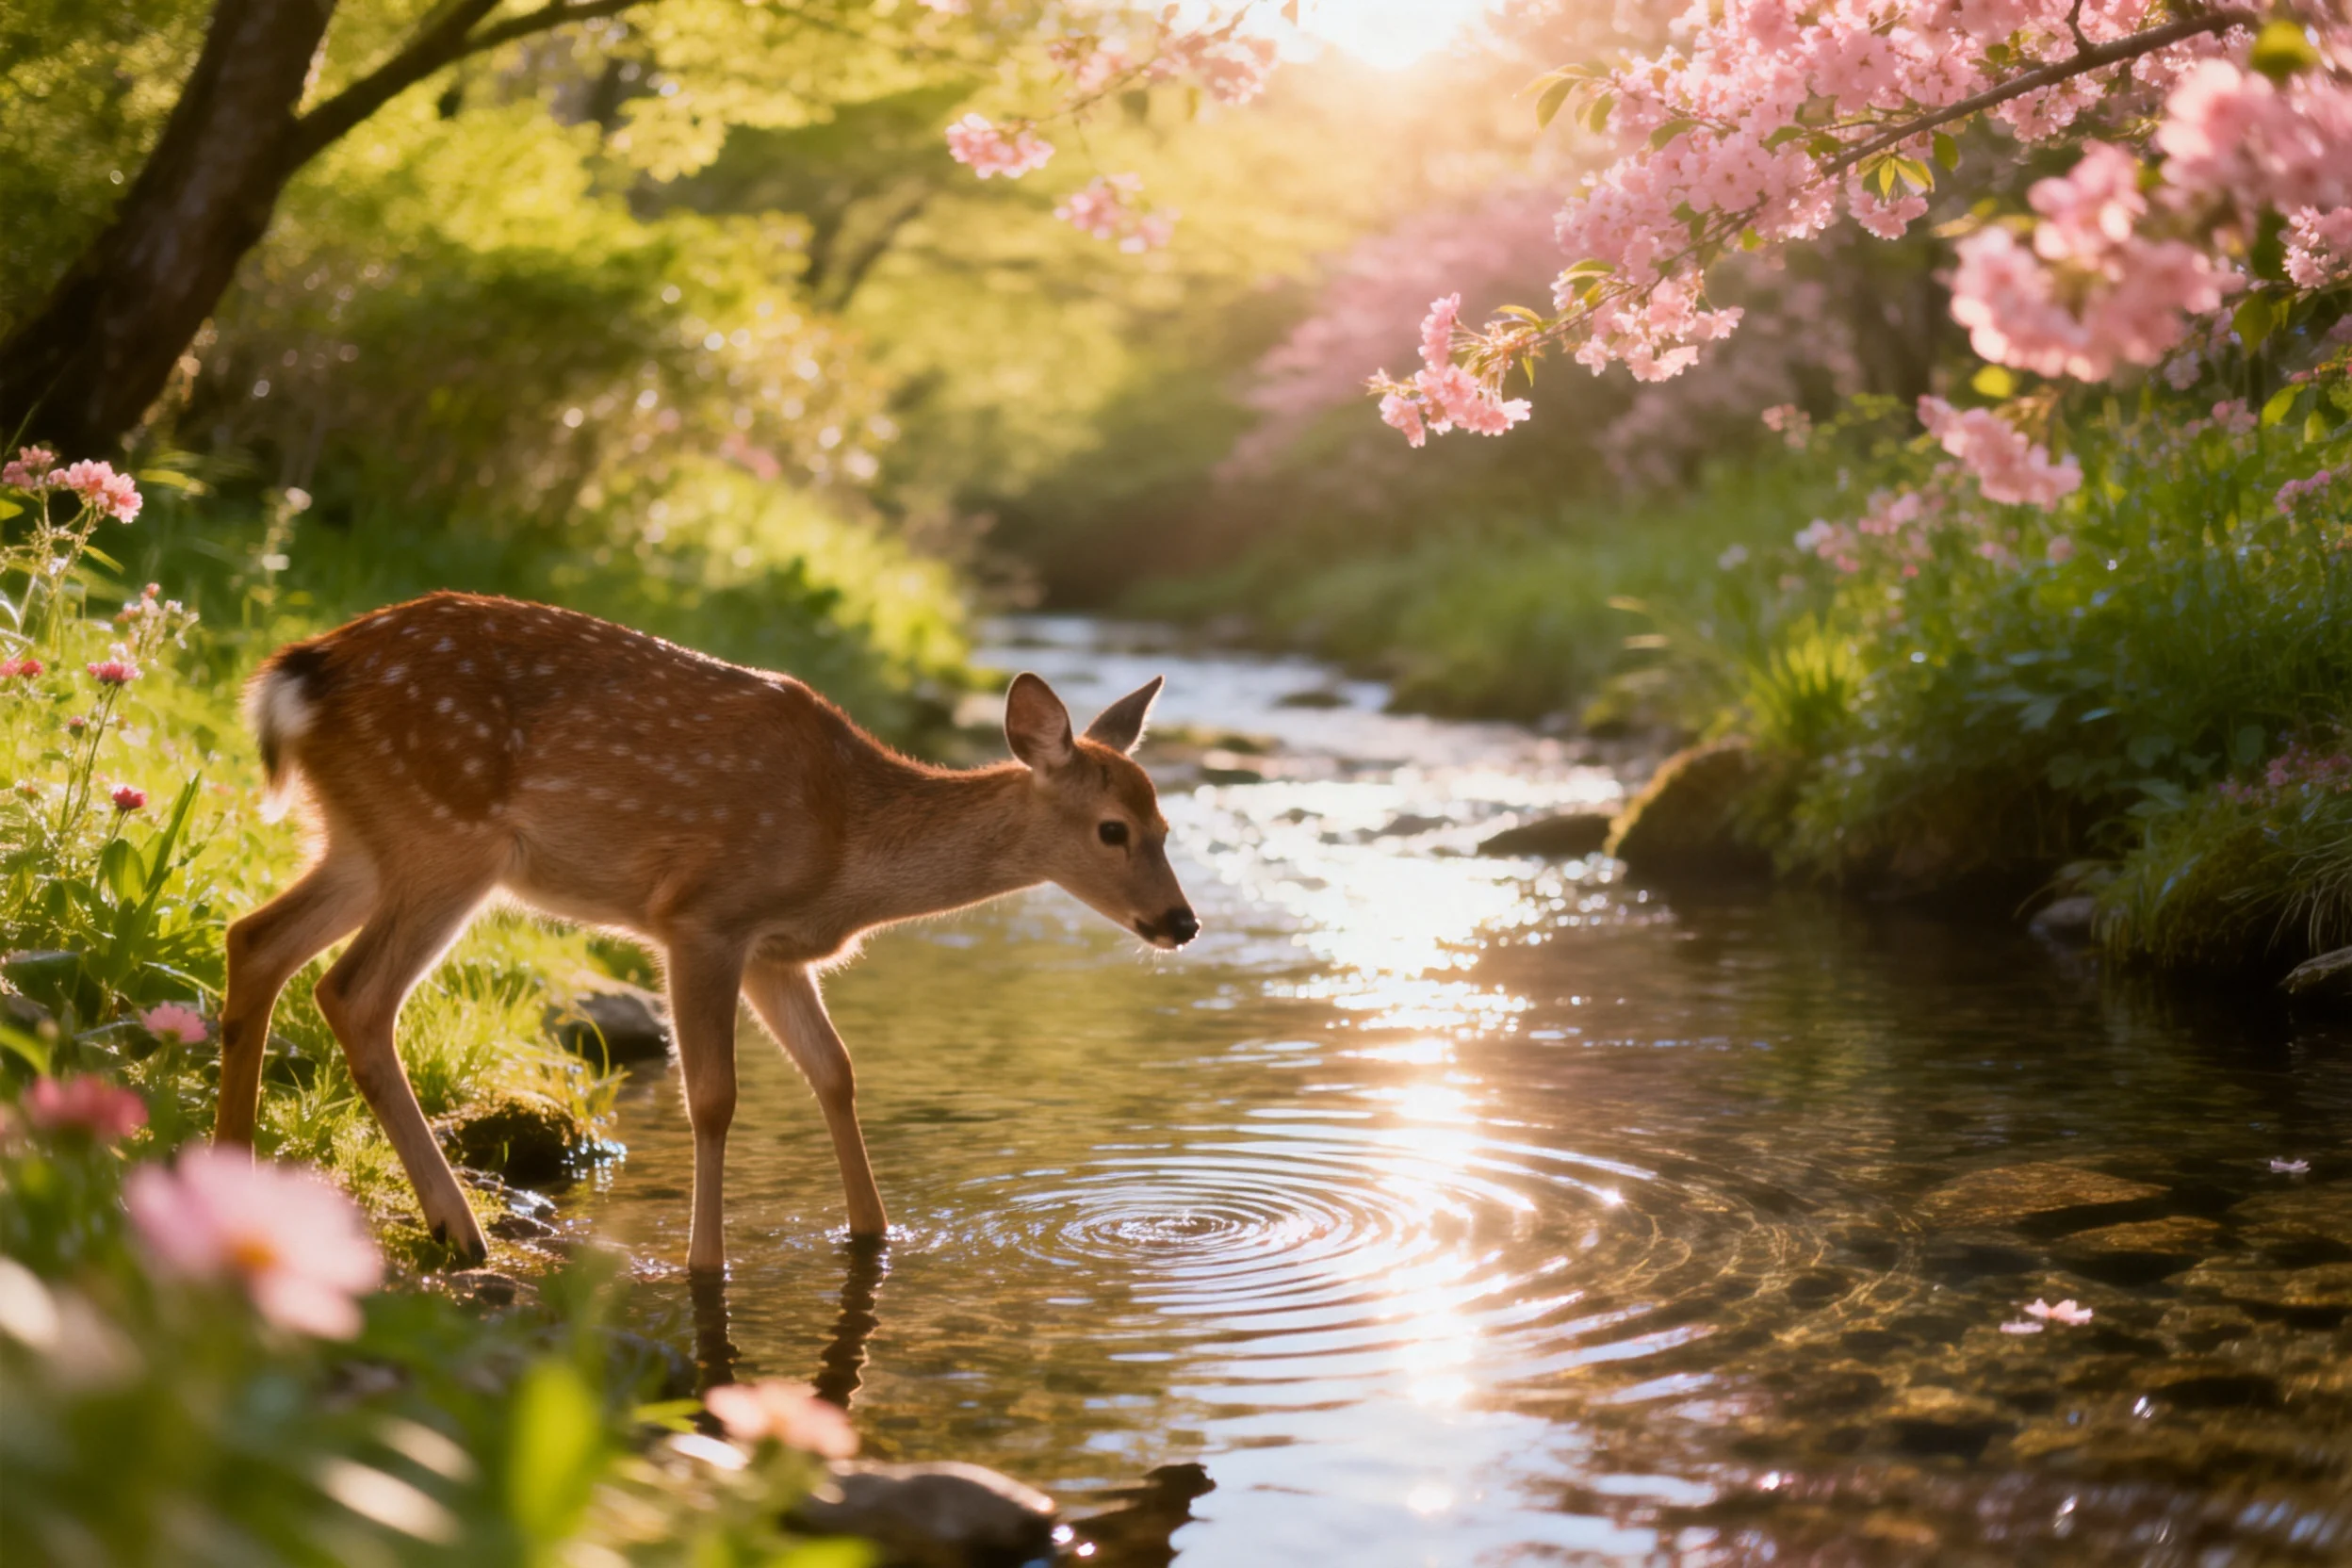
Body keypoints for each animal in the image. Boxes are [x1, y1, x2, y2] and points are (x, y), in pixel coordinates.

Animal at [213, 590, 1196, 1273]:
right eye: (1114, 829)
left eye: (1167, 824)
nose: (1180, 922)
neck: (845, 847)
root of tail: (297, 674)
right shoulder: (702, 918)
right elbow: (715, 1097)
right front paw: (705, 1264)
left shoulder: (776, 954)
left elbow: (837, 1071)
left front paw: (872, 1234)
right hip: (445, 836)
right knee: (353, 990)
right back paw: (458, 1229)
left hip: (363, 839)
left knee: (256, 938)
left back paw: (230, 1166)